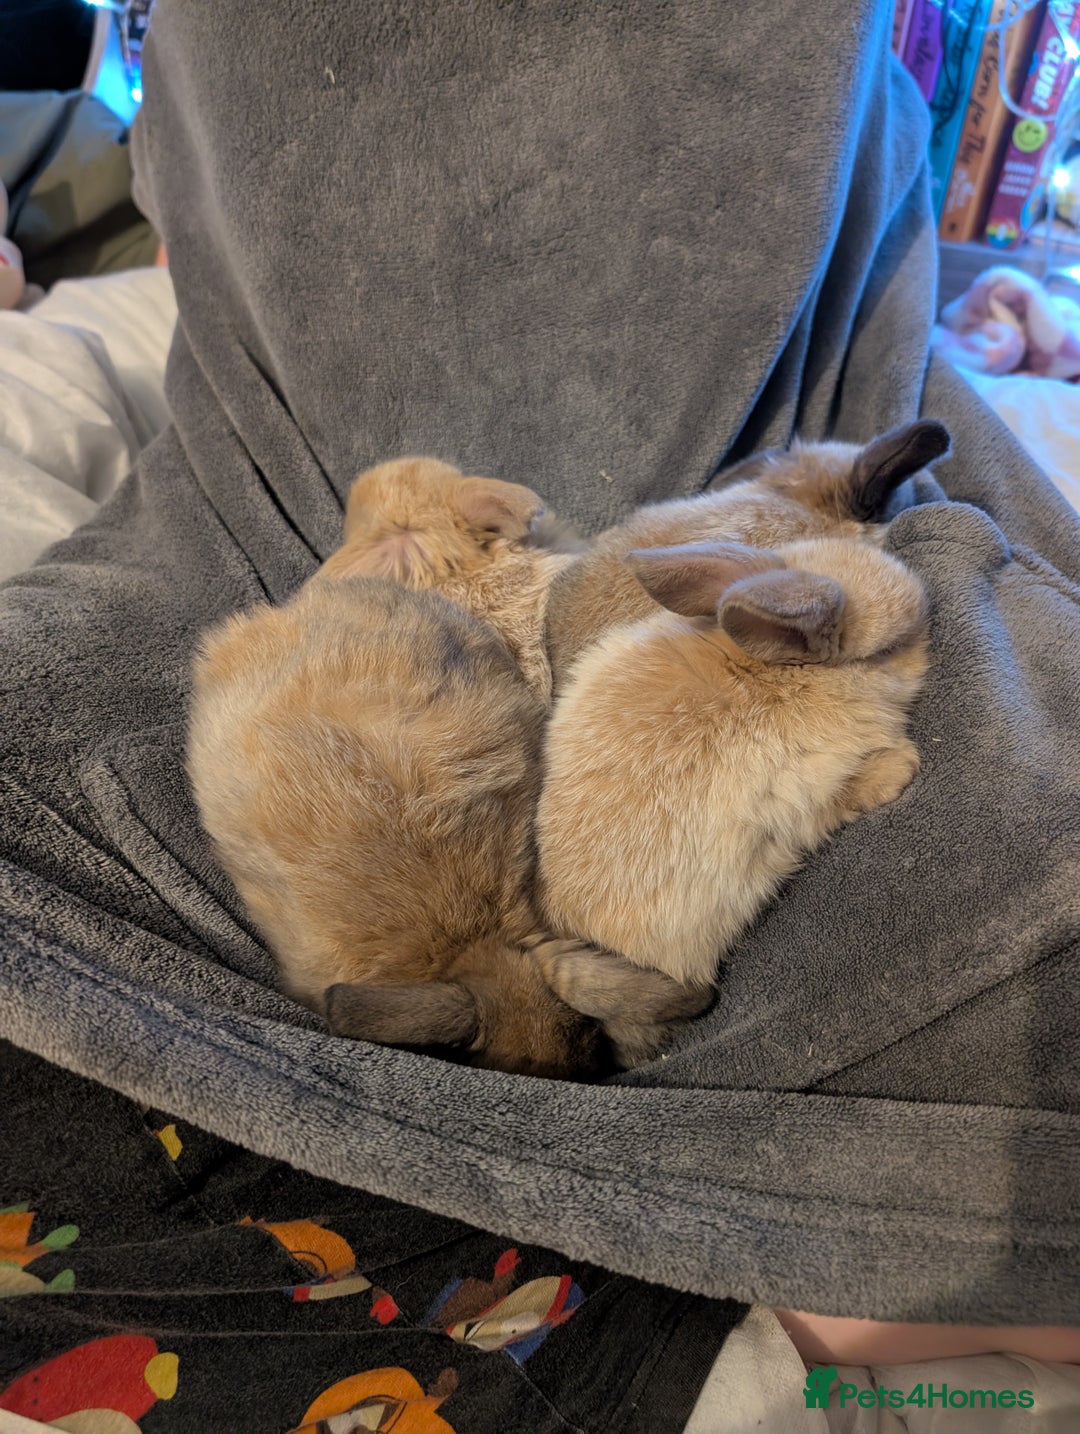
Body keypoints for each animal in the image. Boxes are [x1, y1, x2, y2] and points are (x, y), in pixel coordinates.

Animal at [534, 535, 930, 1056]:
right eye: (888, 650)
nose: (929, 629)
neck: (777, 672)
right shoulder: (810, 790)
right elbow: (845, 797)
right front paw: (901, 766)